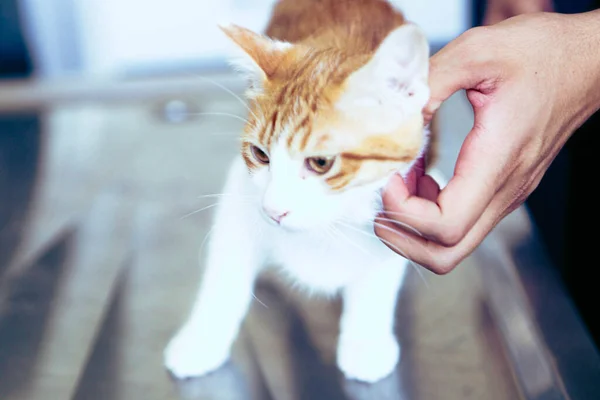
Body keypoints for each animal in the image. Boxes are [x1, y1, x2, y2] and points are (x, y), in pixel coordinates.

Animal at [166, 0, 434, 382]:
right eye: (260, 154)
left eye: (321, 163)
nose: (273, 211)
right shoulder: (240, 195)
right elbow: (226, 270)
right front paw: (201, 339)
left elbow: (381, 267)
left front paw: (365, 342)